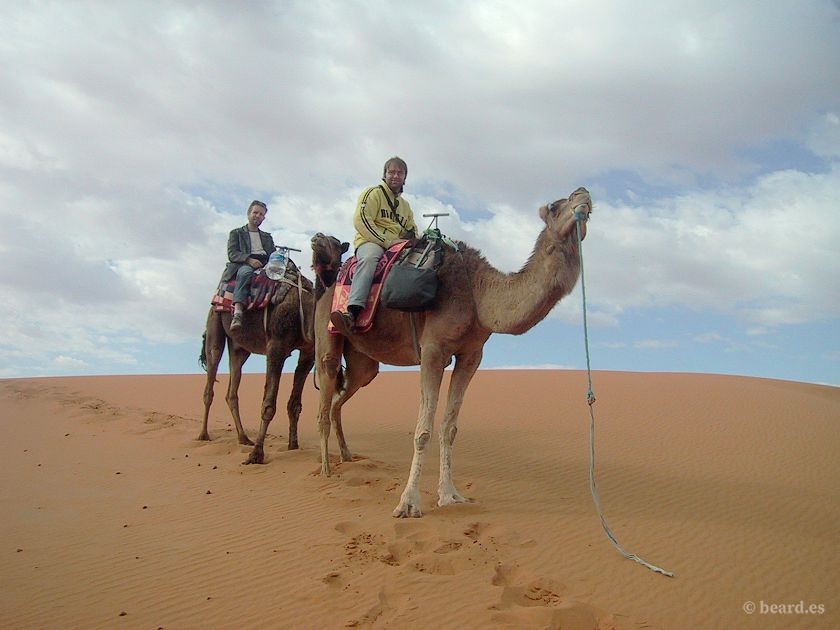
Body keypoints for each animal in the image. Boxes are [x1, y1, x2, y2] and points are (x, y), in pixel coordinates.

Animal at [199, 235, 348, 466]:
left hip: (240, 347)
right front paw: (256, 454)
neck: (306, 311)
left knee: (232, 389)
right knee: (211, 373)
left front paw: (293, 446)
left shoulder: (307, 353)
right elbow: (269, 404)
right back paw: (204, 435)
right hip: (215, 323)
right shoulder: (276, 347)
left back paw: (243, 438)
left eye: (335, 242)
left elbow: (294, 404)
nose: (316, 237)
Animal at [312, 188, 592, 520]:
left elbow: (449, 427)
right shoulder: (433, 350)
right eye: (555, 206)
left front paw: (450, 495)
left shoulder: (471, 355)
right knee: (324, 398)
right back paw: (326, 470)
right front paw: (408, 504)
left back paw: (346, 456)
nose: (583, 194)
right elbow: (423, 430)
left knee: (339, 399)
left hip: (364, 362)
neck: (477, 294)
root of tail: (326, 292)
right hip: (327, 339)